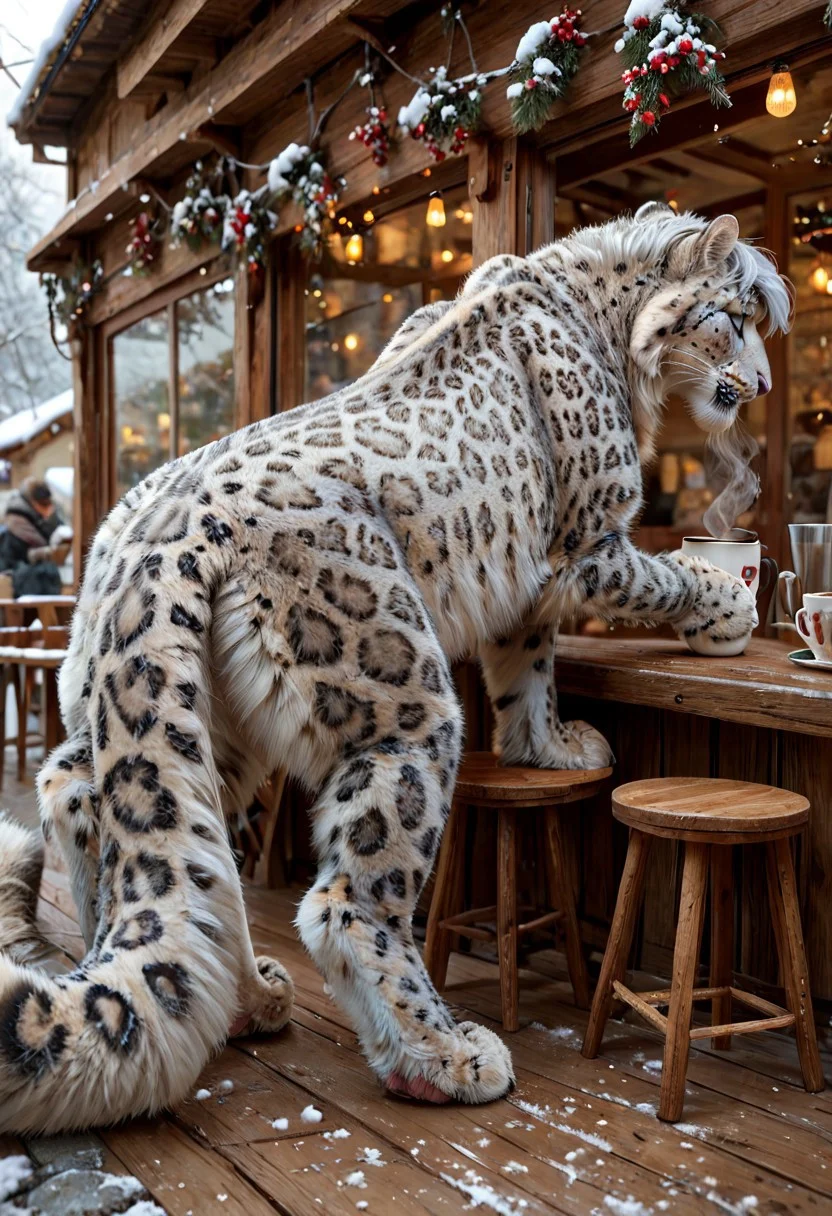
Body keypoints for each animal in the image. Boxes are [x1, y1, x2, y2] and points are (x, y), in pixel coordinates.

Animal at [0, 203, 789, 1133]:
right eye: (734, 318)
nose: (764, 385)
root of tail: (154, 531)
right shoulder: (591, 544)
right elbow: (663, 580)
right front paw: (728, 607)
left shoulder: (531, 589)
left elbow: (528, 669)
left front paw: (547, 749)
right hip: (399, 700)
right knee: (348, 896)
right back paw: (442, 1056)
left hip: (194, 722)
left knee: (97, 803)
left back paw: (247, 997)